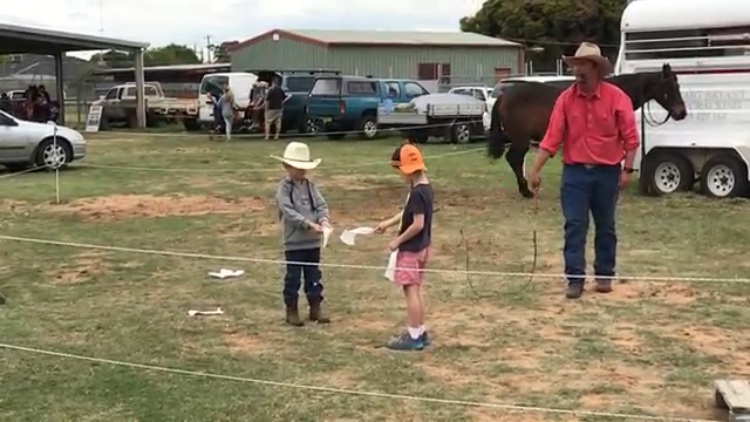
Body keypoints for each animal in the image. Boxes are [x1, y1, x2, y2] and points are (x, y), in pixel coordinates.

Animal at [490, 63, 692, 199]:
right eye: (668, 87)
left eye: (678, 86)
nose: (681, 113)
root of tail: (504, 95)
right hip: (521, 139)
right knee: (514, 159)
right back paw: (526, 191)